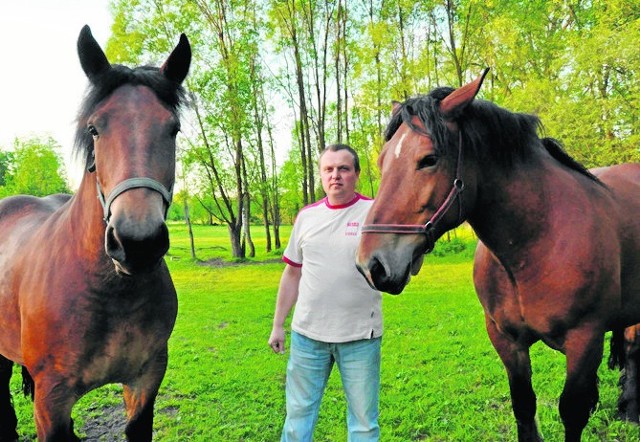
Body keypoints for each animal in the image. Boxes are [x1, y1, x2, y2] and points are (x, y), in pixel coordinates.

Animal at [0, 25, 190, 440]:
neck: (107, 292)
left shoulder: (145, 380)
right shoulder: (50, 402)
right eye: (94, 128)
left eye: (173, 128)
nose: (137, 243)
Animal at [352, 67, 640, 440]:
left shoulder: (584, 340)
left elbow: (573, 412)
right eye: (382, 162)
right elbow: (524, 408)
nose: (371, 264)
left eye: (429, 160)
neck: (534, 246)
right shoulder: (507, 341)